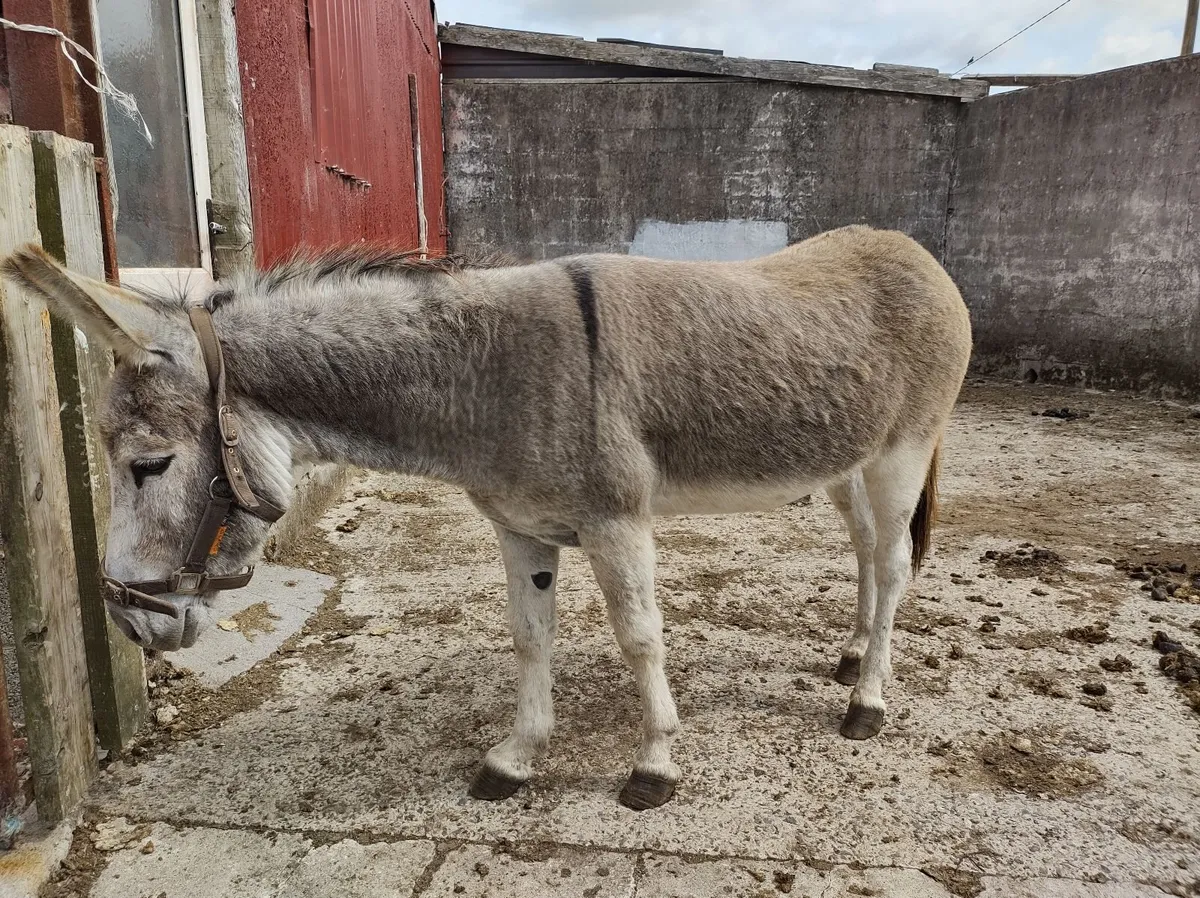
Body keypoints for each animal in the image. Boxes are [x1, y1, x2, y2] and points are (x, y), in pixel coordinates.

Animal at [2, 224, 972, 809]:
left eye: (147, 466)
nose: (133, 621)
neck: (484, 375)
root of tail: (913, 248)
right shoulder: (521, 527)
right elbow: (530, 637)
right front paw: (515, 757)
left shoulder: (617, 521)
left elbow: (640, 637)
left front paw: (654, 763)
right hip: (847, 460)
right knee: (866, 554)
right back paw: (852, 656)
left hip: (901, 452)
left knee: (893, 566)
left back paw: (868, 700)